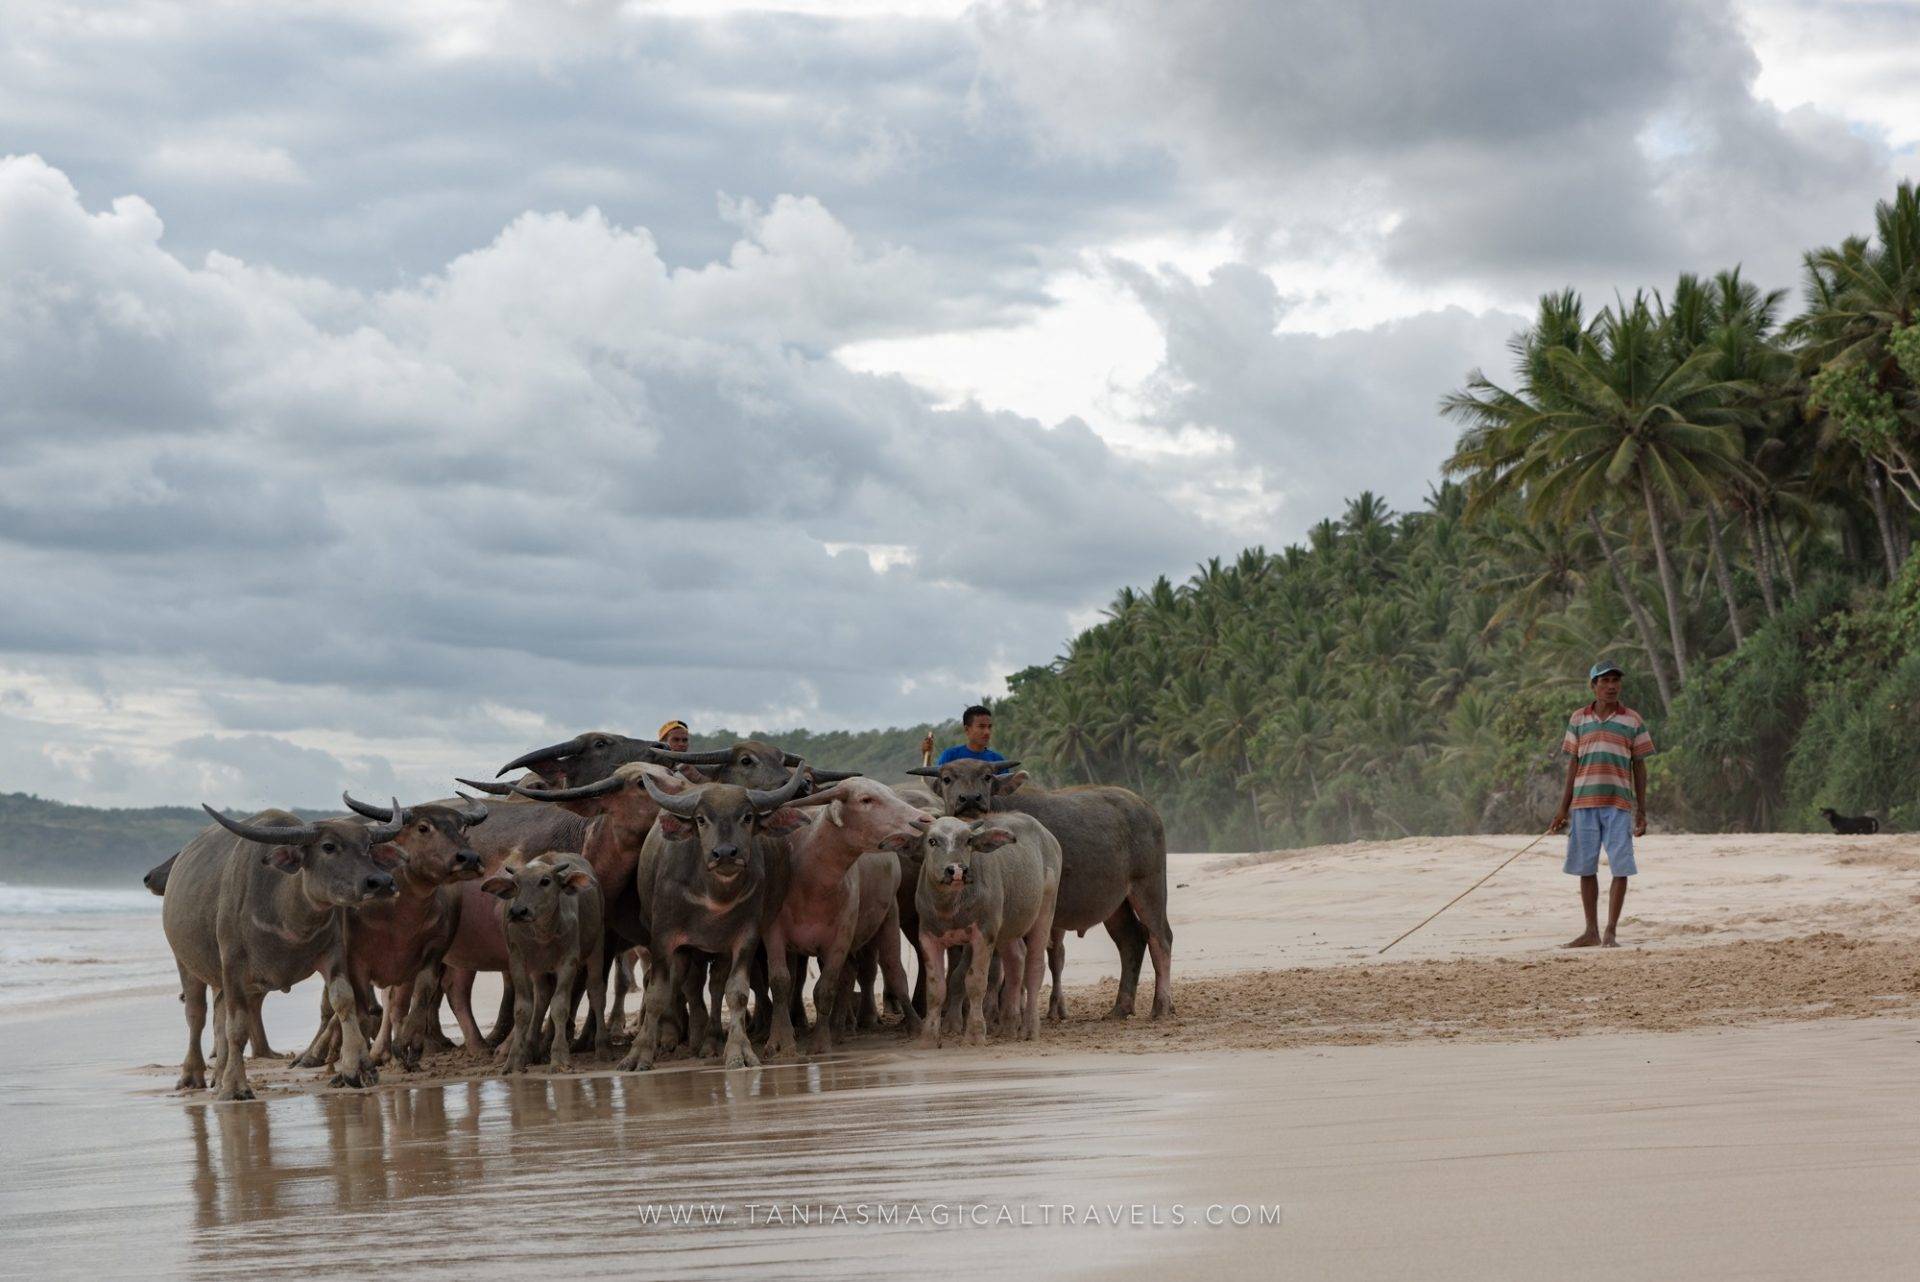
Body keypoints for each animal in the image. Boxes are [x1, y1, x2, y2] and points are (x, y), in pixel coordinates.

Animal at [163, 806, 407, 1097]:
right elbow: (237, 1026)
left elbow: (343, 1000)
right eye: (328, 846)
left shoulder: (333, 953)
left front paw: (358, 1067)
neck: (286, 915)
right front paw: (235, 1086)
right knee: (196, 1016)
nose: (381, 882)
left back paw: (219, 1075)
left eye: (368, 845)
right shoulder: (232, 966)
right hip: (186, 964)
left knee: (218, 1016)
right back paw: (192, 1076)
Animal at [483, 855, 602, 1074]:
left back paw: (603, 1048)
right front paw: (514, 1060)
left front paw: (560, 1058)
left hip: (597, 946)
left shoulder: (568, 962)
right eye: (516, 883)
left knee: (596, 991)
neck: (542, 933)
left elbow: (560, 1006)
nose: (518, 911)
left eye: (545, 881)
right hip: (539, 971)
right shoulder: (517, 961)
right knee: (541, 998)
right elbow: (522, 1009)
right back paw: (531, 1049)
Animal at [910, 759, 1175, 1020]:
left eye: (987, 776)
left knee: (1161, 938)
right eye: (947, 778)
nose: (970, 799)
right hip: (1116, 903)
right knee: (1131, 941)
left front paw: (1001, 1012)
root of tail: (1148, 809)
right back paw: (1121, 1007)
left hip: (1149, 886)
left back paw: (1161, 1006)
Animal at [913, 817, 1067, 1044]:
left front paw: (975, 1034)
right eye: (932, 841)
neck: (951, 907)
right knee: (1015, 959)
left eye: (968, 840)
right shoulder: (927, 936)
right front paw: (929, 1037)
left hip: (1045, 910)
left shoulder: (983, 935)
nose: (956, 870)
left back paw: (1029, 1028)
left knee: (1035, 966)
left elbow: (976, 982)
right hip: (1007, 928)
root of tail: (1048, 837)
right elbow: (936, 988)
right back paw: (1009, 1025)